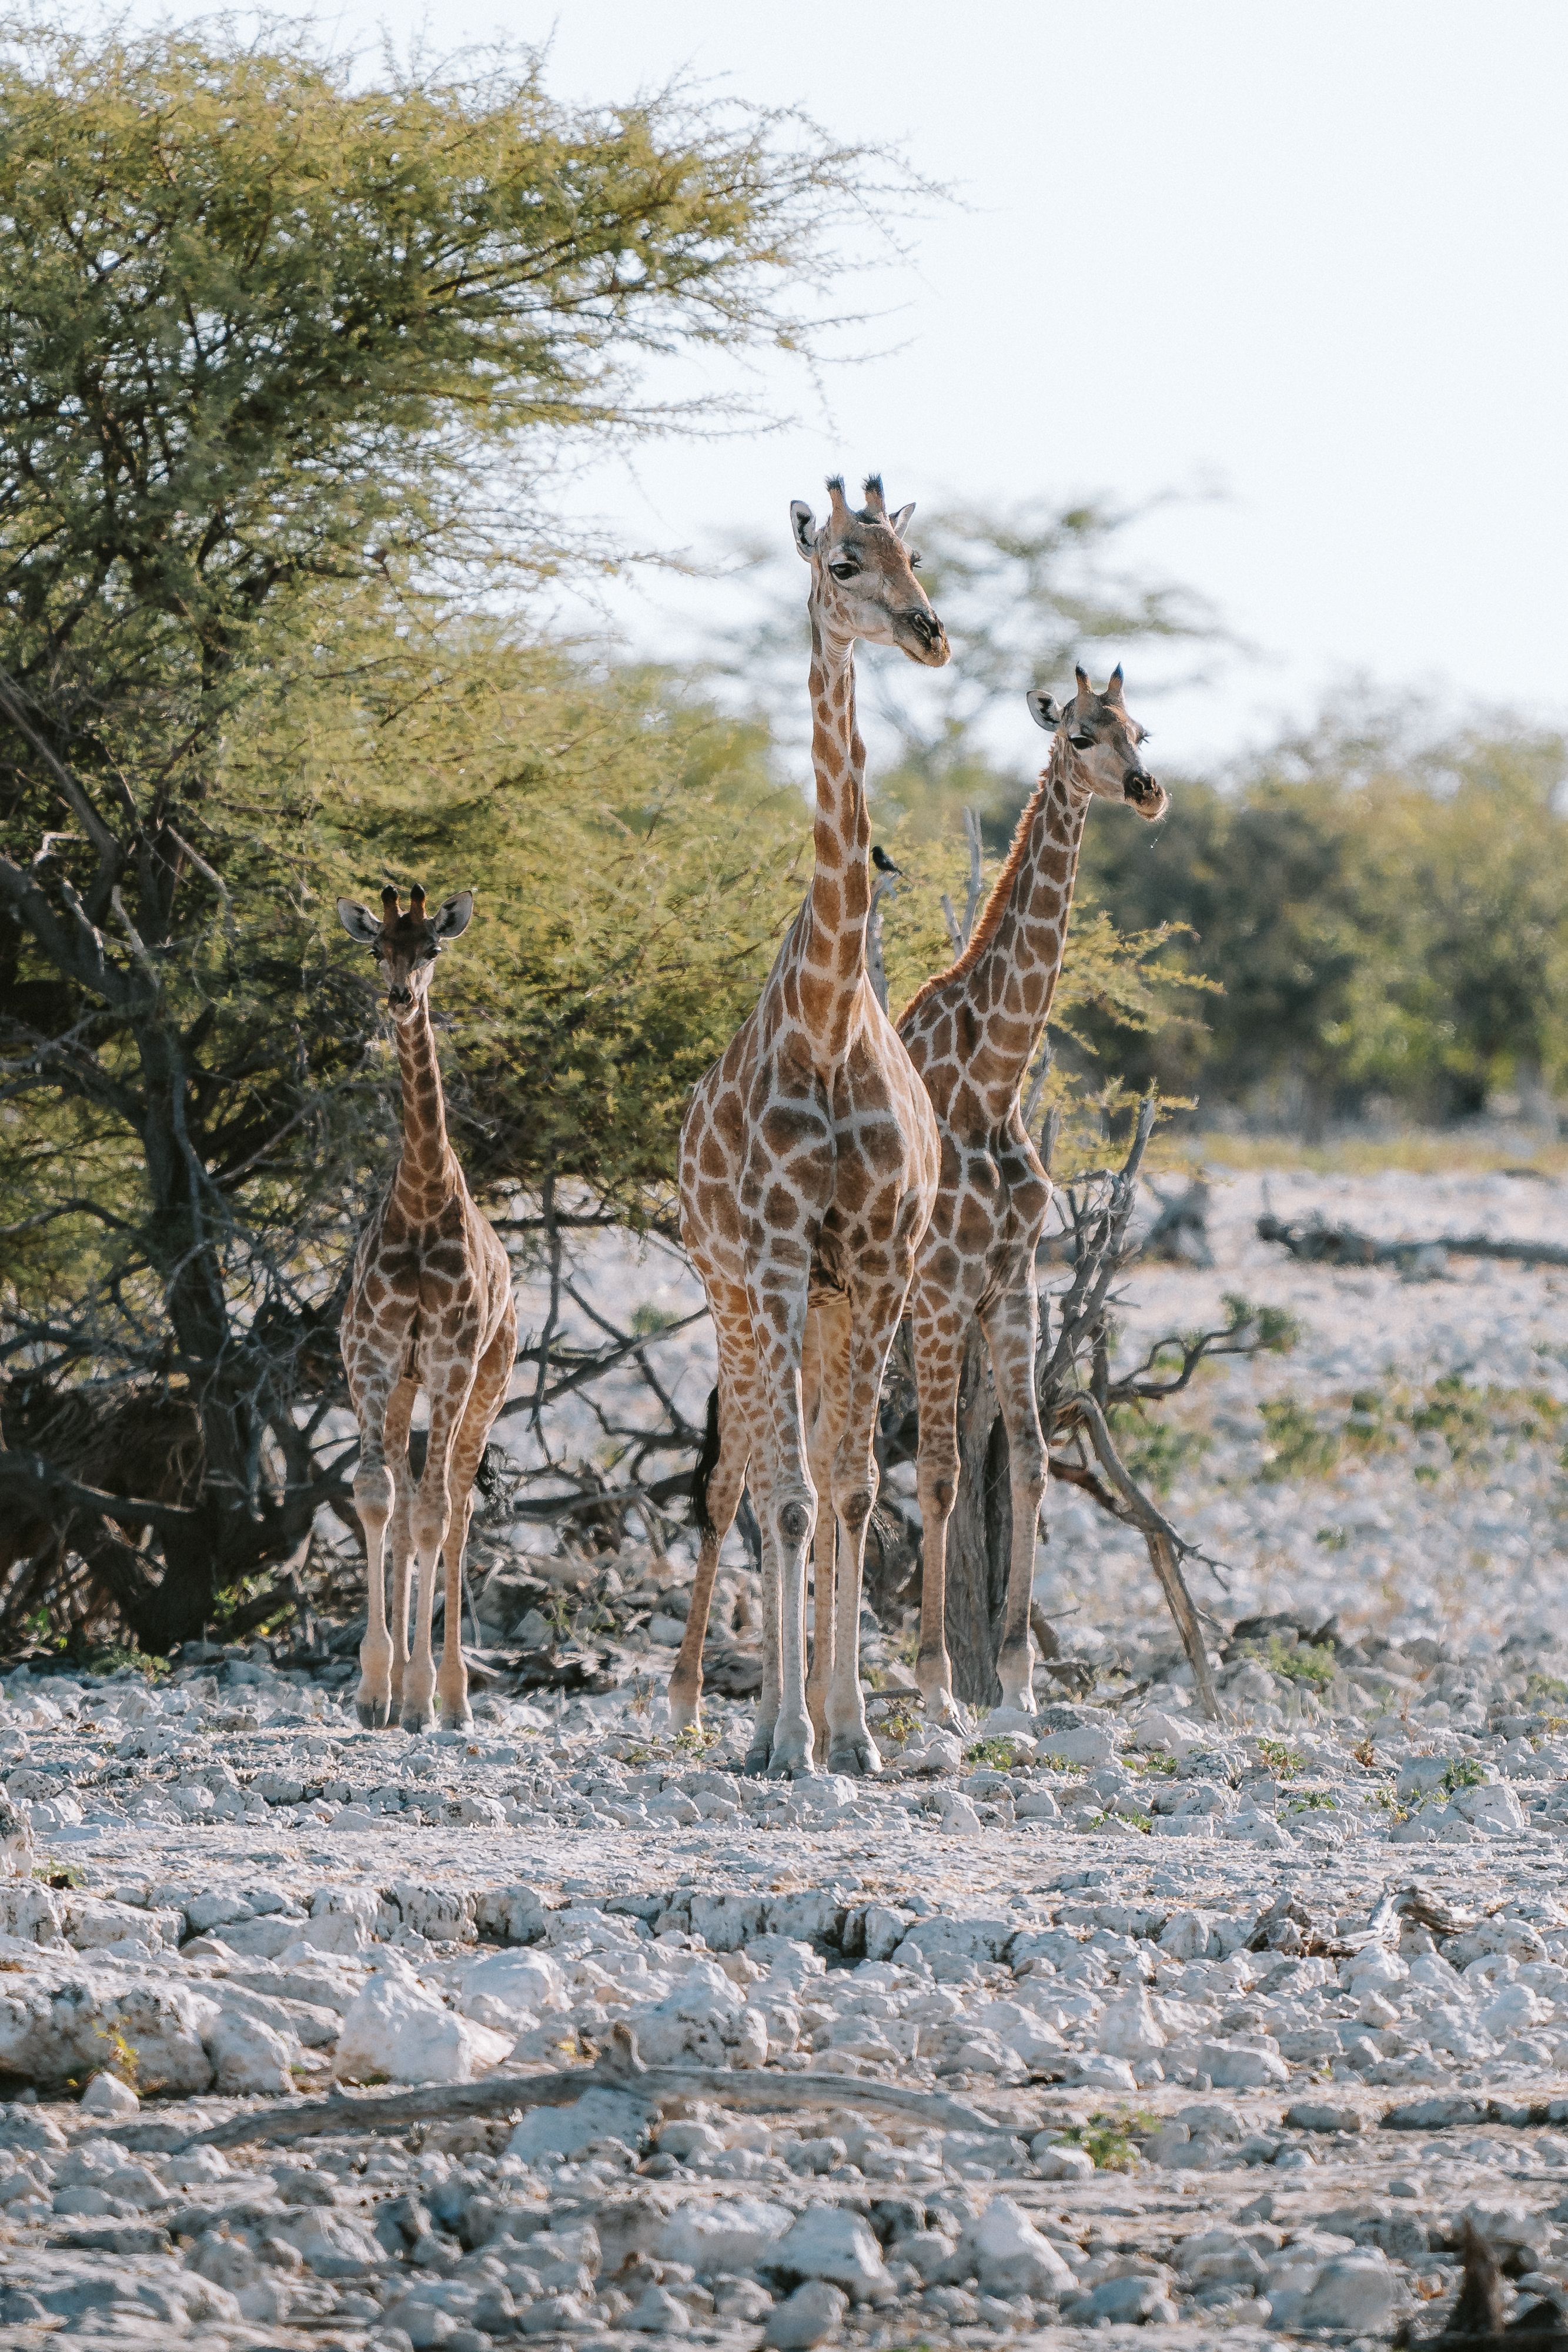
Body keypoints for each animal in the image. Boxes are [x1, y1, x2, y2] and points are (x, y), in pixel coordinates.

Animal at [897, 664, 1167, 1727]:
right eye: (1082, 733)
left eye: (1142, 728)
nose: (1146, 790)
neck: (993, 1076)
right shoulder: (938, 1288)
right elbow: (938, 1473)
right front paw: (937, 1683)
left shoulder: (1008, 1282)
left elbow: (1029, 1459)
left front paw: (1015, 1681)